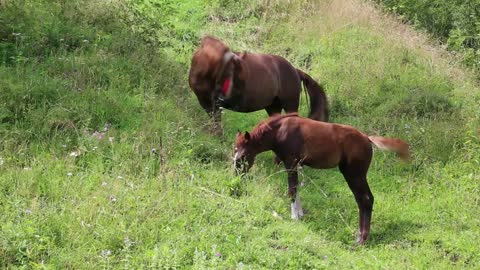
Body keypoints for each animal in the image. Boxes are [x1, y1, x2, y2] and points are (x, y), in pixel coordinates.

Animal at [189, 35, 328, 133]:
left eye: (236, 73)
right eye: (232, 72)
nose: (224, 97)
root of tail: (295, 71)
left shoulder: (211, 104)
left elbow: (216, 123)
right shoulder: (209, 103)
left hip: (290, 105)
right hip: (273, 107)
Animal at [232, 113, 408, 244]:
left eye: (243, 156)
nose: (236, 178)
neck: (280, 131)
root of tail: (367, 139)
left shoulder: (290, 163)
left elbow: (291, 189)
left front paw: (294, 217)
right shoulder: (296, 165)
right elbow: (297, 188)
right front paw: (300, 214)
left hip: (354, 174)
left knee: (366, 199)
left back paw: (362, 239)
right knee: (362, 200)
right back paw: (360, 235)